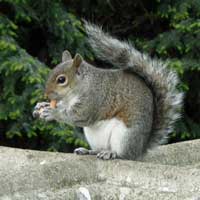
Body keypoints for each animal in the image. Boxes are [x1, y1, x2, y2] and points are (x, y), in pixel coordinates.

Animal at [32, 21, 183, 160]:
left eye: (62, 79)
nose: (46, 95)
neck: (77, 89)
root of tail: (140, 150)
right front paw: (41, 105)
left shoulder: (93, 99)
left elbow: (77, 115)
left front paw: (53, 112)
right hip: (95, 137)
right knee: (99, 149)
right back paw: (88, 151)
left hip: (124, 136)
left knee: (124, 155)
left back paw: (112, 153)